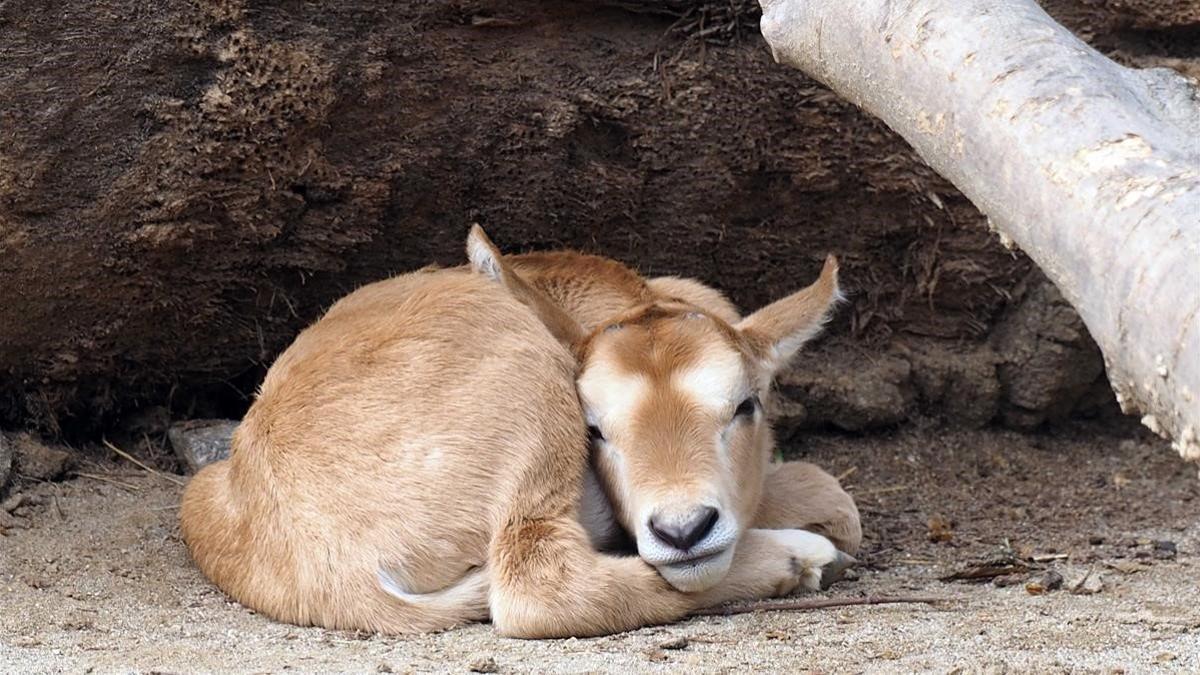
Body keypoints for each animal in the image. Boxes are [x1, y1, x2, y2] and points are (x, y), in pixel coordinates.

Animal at [177, 228, 854, 634]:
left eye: (744, 405)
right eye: (595, 429)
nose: (683, 529)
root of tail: (333, 571)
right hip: (532, 397)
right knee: (534, 587)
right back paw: (797, 557)